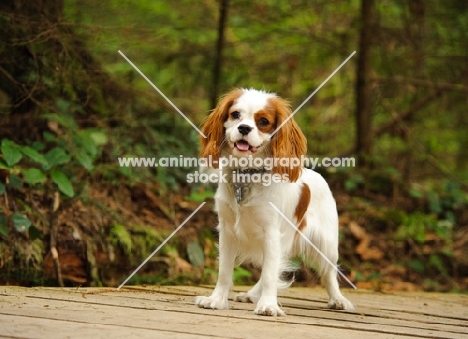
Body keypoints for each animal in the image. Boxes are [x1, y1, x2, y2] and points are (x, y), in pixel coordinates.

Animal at [195, 87, 354, 316]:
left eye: (263, 121)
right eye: (235, 115)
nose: (244, 128)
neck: (247, 175)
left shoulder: (271, 232)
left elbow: (270, 273)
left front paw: (268, 305)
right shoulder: (227, 231)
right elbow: (225, 271)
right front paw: (216, 299)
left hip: (326, 244)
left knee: (329, 273)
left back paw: (338, 300)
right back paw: (251, 295)